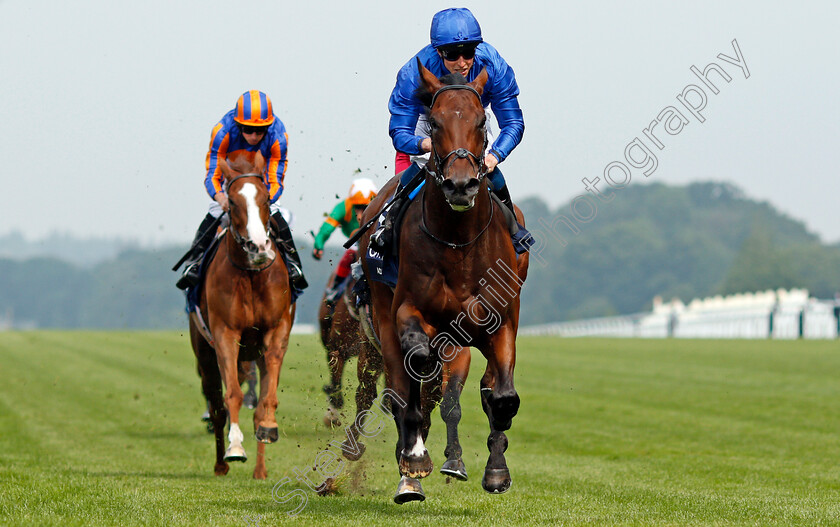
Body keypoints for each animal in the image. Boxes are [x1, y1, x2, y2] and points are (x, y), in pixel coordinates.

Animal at [190, 151, 296, 480]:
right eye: (234, 202)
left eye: (265, 199)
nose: (259, 246)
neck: (251, 274)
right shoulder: (225, 333)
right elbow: (233, 395)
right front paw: (235, 447)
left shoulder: (276, 330)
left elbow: (265, 402)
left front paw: (269, 427)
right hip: (204, 352)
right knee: (216, 406)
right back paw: (220, 464)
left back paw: (260, 470)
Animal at [358, 62, 528, 504]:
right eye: (433, 123)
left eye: (481, 121)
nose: (461, 184)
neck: (459, 243)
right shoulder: (408, 312)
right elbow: (416, 371)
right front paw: (416, 456)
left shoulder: (501, 322)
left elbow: (502, 397)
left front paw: (496, 470)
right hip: (382, 317)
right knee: (403, 386)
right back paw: (410, 470)